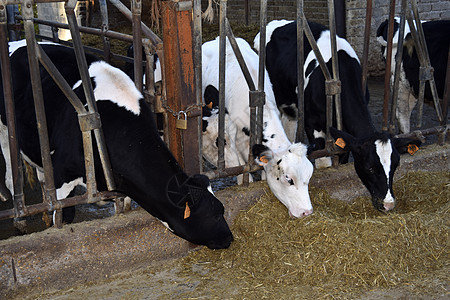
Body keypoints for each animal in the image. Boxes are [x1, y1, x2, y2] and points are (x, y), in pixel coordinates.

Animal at [0, 41, 232, 248]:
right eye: (215, 213)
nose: (229, 238)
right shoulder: (62, 175)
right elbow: (64, 215)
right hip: (5, 131)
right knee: (12, 177)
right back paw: (18, 219)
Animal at [256, 19, 422, 212]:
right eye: (370, 168)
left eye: (395, 165)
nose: (388, 204)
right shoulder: (313, 125)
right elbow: (323, 162)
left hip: (291, 108)